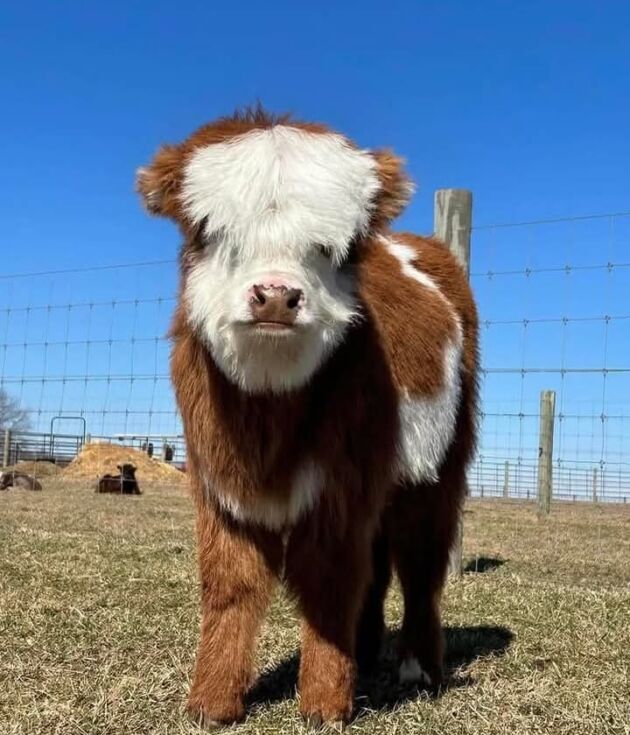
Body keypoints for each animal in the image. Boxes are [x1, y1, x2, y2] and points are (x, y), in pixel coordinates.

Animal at [137, 107, 479, 728]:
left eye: (331, 247)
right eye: (212, 233)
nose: (275, 295)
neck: (267, 412)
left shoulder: (341, 484)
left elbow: (328, 580)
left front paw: (323, 703)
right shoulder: (218, 480)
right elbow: (230, 582)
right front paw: (211, 701)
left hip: (439, 467)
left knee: (420, 561)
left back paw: (418, 667)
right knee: (379, 563)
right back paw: (364, 652)